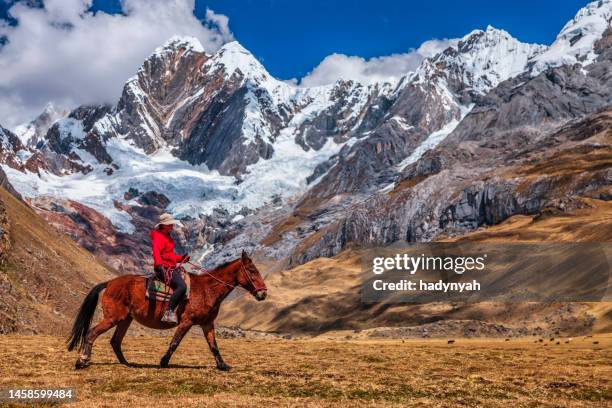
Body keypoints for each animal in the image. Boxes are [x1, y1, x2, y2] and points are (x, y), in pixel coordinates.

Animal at [67, 250, 268, 372]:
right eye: (252, 270)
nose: (263, 293)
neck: (206, 290)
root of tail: (109, 283)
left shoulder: (207, 324)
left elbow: (214, 346)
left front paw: (223, 365)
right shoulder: (187, 322)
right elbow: (174, 343)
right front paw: (163, 362)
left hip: (125, 319)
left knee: (115, 341)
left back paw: (128, 364)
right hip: (112, 318)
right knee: (92, 333)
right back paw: (82, 361)